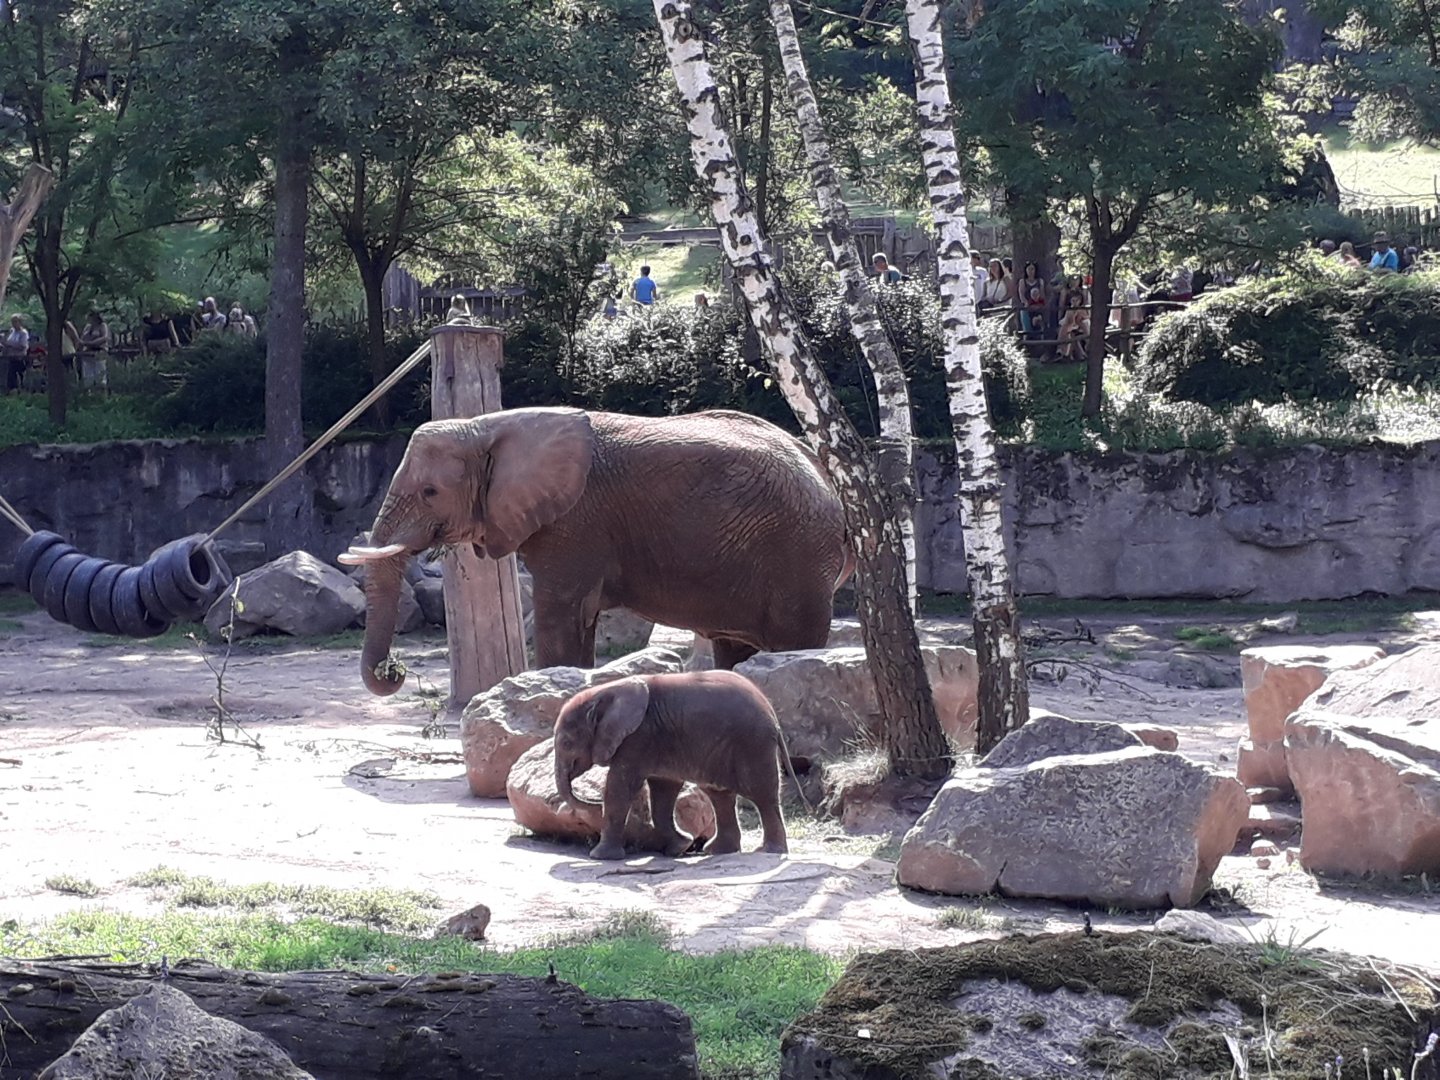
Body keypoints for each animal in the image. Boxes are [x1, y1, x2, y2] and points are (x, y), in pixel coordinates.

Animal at [341, 406, 852, 696]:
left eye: (430, 492)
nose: (394, 670)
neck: (487, 425)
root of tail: (832, 486)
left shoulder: (576, 519)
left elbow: (561, 614)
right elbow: (577, 622)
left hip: (798, 556)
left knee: (792, 643)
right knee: (736, 651)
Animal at [552, 670, 800, 860]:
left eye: (566, 743)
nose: (592, 803)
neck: (606, 690)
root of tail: (773, 715)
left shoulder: (638, 737)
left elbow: (620, 787)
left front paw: (599, 857)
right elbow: (663, 791)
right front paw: (681, 846)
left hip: (753, 744)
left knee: (762, 795)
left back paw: (768, 851)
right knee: (720, 796)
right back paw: (717, 851)